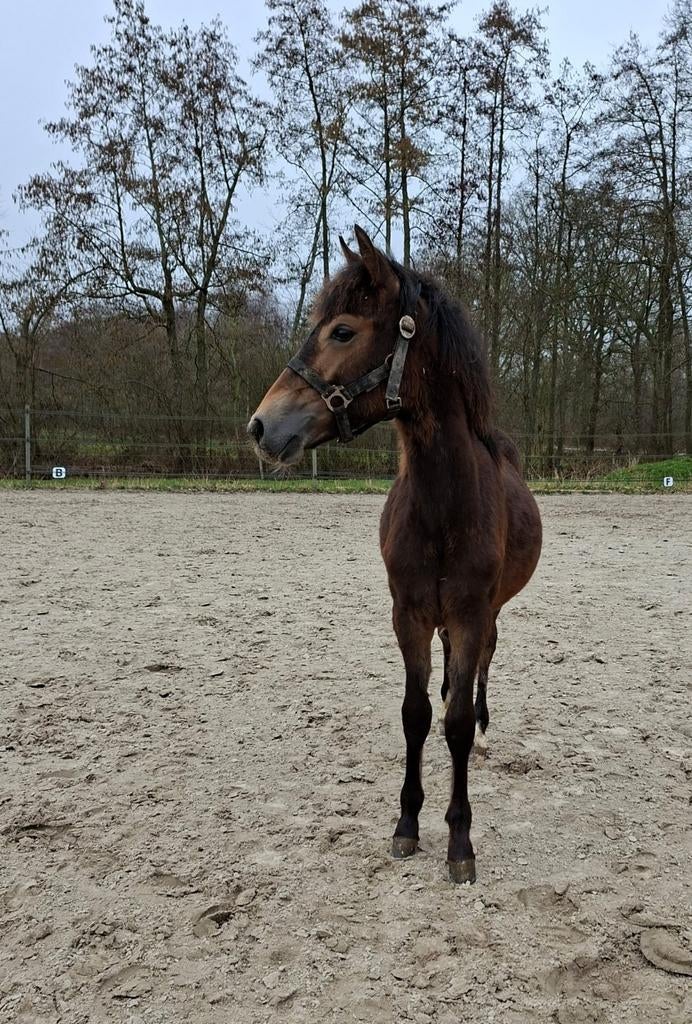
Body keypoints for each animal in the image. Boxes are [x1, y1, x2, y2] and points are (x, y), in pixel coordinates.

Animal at [248, 226, 542, 884]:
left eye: (342, 331)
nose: (260, 427)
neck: (442, 506)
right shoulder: (408, 614)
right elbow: (415, 714)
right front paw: (407, 823)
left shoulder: (469, 611)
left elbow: (454, 723)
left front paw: (459, 840)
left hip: (489, 613)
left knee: (482, 667)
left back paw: (484, 729)